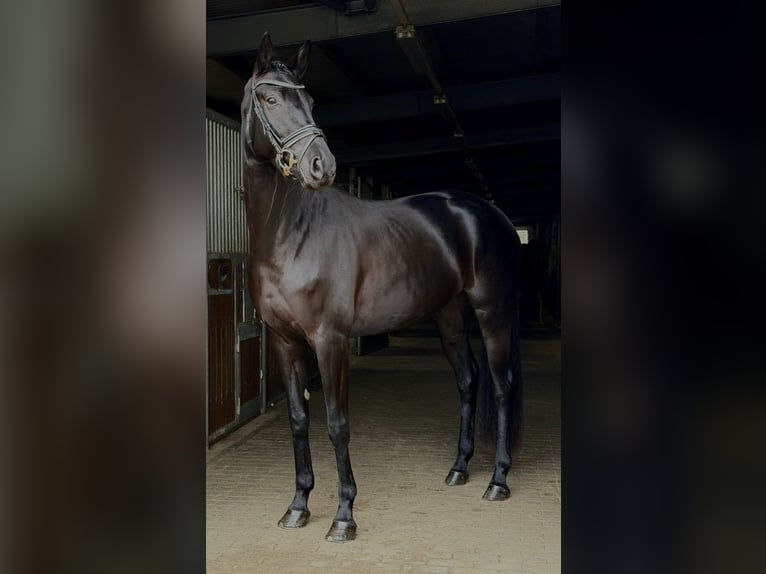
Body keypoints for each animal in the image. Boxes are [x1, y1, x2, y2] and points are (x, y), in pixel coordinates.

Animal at [241, 32, 523, 543]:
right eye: (270, 99)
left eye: (310, 101)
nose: (321, 166)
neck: (290, 234)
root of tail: (490, 214)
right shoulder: (283, 341)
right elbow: (297, 420)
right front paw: (298, 506)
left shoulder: (330, 340)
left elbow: (337, 424)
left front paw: (343, 516)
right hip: (449, 315)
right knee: (468, 381)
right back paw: (459, 468)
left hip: (493, 313)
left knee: (499, 385)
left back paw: (497, 481)